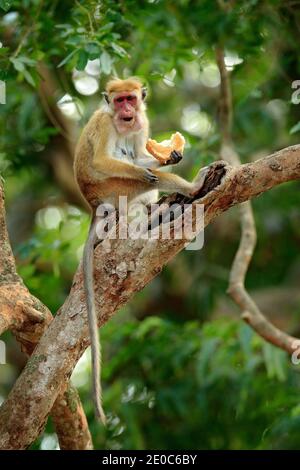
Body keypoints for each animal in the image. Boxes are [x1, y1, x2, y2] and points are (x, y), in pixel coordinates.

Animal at [74, 76, 207, 422]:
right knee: (146, 180)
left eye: (131, 99)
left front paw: (171, 154)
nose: (127, 111)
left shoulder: (141, 125)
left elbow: (140, 152)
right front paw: (150, 168)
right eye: (119, 100)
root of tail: (95, 205)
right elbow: (108, 161)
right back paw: (191, 187)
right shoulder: (105, 124)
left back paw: (156, 210)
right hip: (116, 189)